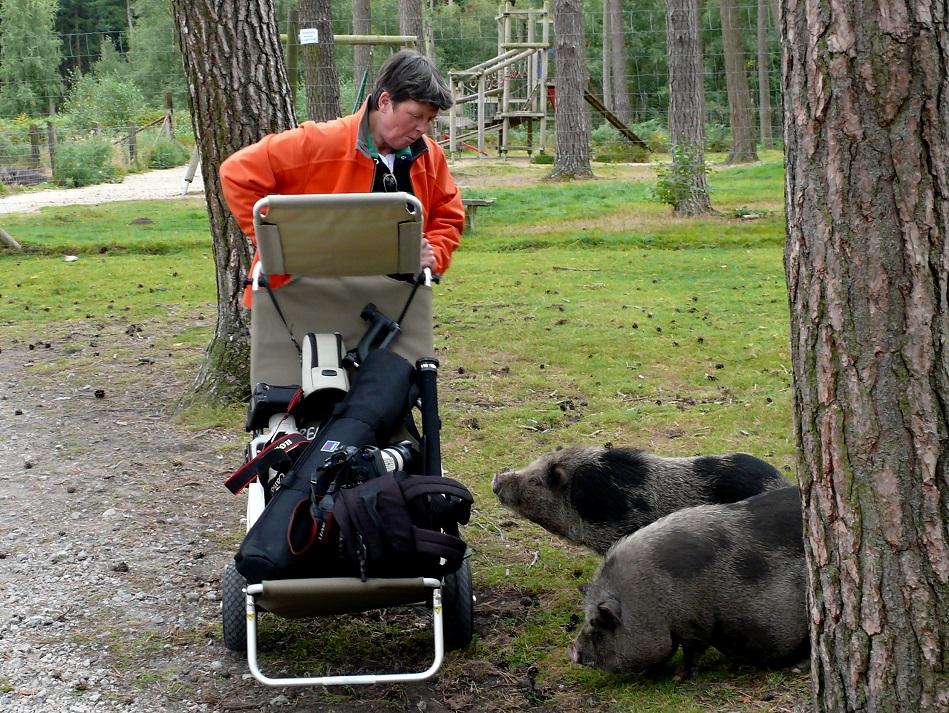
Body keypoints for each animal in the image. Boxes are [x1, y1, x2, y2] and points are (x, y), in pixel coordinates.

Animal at [568, 484, 804, 680]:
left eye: (598, 624)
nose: (572, 650)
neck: (652, 596)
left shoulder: (695, 624)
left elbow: (691, 651)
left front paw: (677, 677)